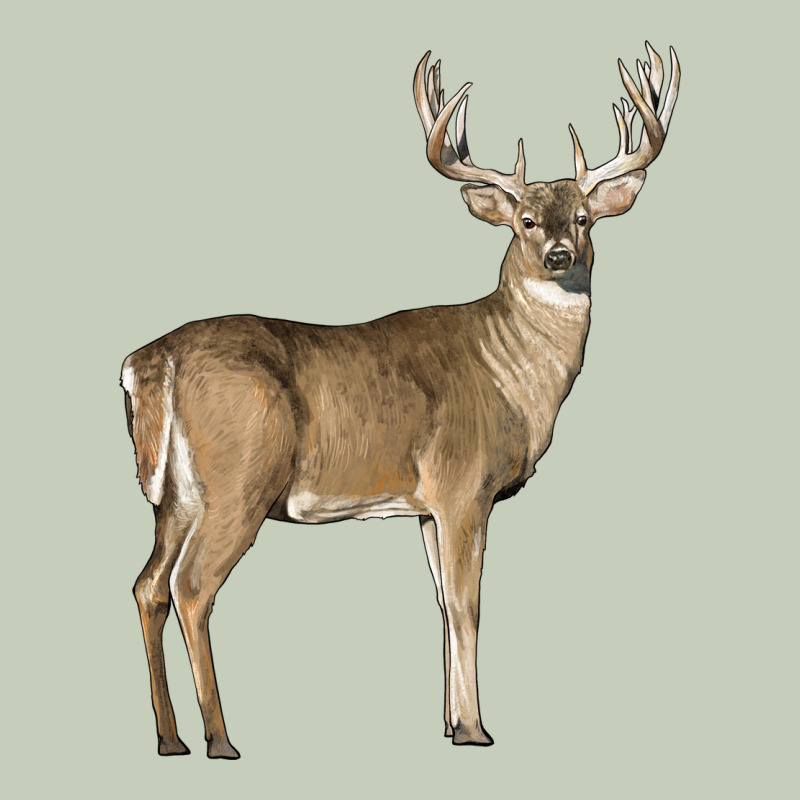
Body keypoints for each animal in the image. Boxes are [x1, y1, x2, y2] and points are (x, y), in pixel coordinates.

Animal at [122, 42, 680, 758]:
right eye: (525, 221)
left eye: (583, 219)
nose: (560, 255)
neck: (509, 369)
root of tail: (151, 361)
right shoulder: (463, 485)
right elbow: (469, 606)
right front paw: (474, 729)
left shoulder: (424, 505)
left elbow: (442, 605)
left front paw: (447, 723)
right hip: (240, 479)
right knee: (192, 587)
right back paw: (221, 739)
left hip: (173, 495)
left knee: (148, 586)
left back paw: (170, 740)